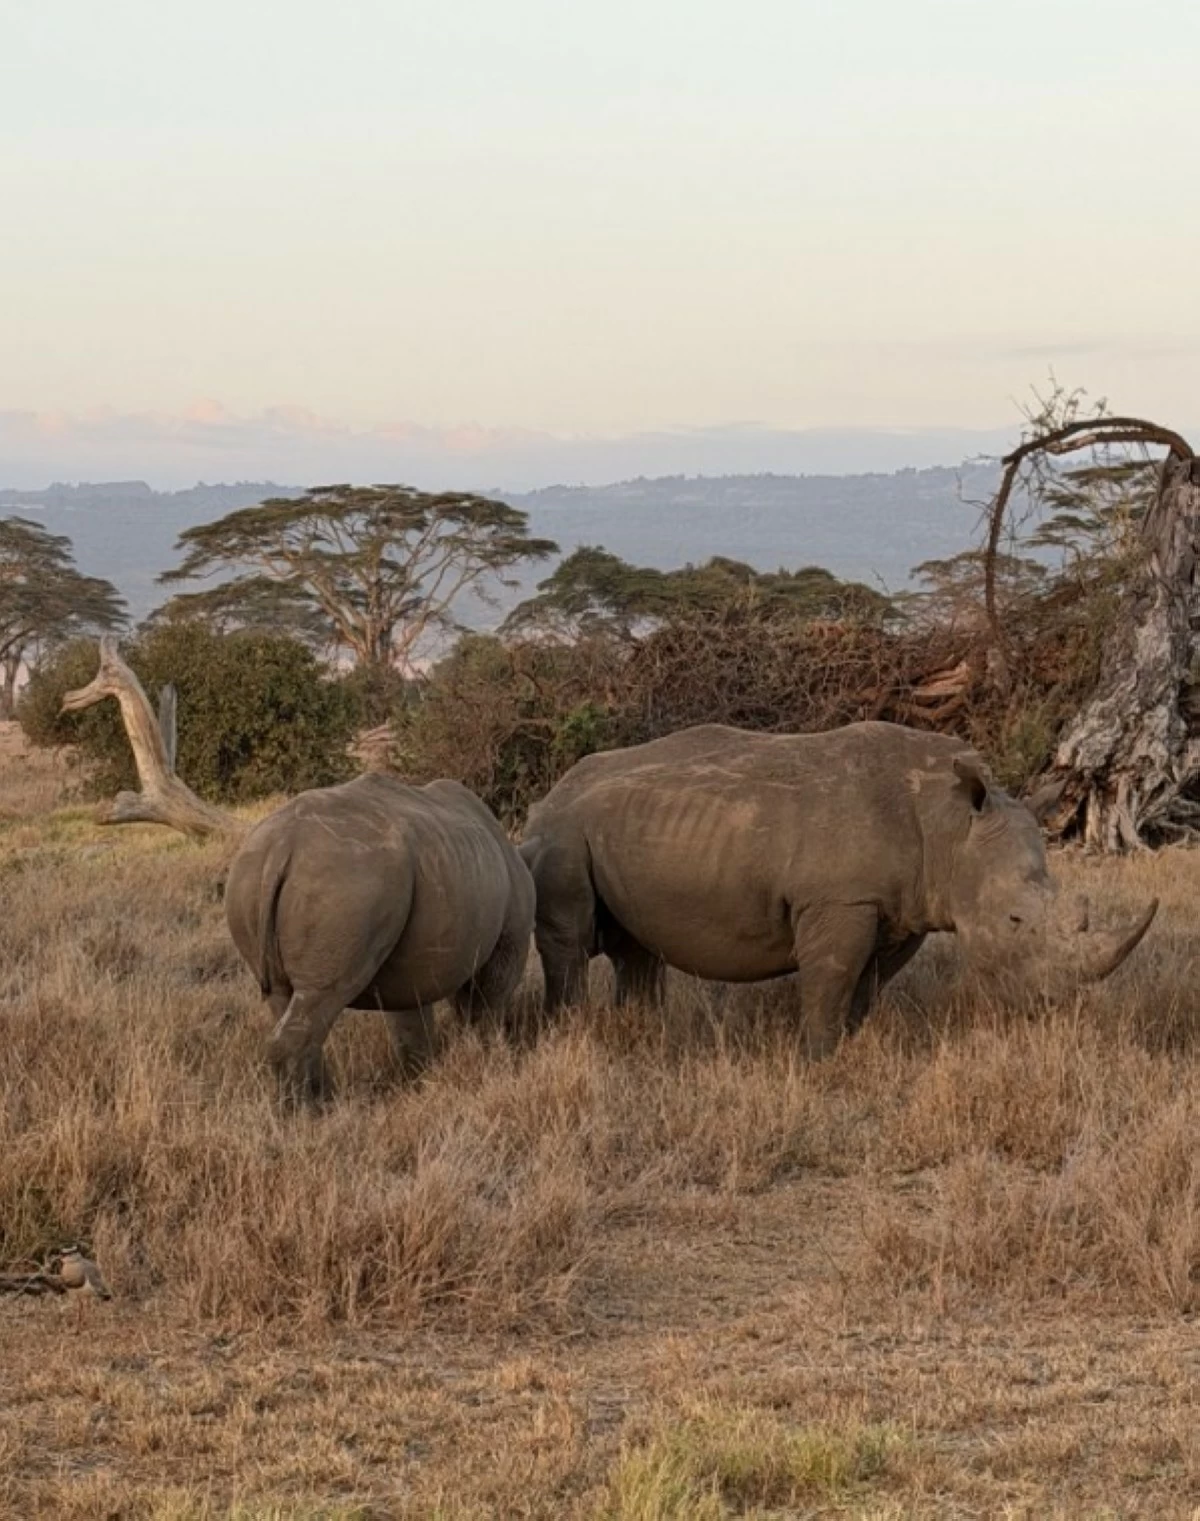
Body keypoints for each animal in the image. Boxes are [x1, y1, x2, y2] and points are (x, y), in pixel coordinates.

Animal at [226, 774, 534, 1101]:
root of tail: (281, 846)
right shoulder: (510, 938)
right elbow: (490, 1002)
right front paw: (494, 1059)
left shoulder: (416, 961)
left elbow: (412, 1020)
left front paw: (420, 1079)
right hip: (347, 881)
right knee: (321, 994)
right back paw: (311, 1110)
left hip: (252, 878)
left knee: (284, 999)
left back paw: (324, 1101)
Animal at [520, 722, 1158, 1053]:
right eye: (1015, 922)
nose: (1054, 1007)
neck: (949, 826)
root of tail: (553, 789)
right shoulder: (841, 899)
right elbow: (833, 974)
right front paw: (819, 1055)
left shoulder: (901, 906)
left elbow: (869, 980)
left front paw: (854, 1041)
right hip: (561, 830)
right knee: (570, 938)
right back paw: (567, 1032)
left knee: (636, 947)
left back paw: (643, 1032)